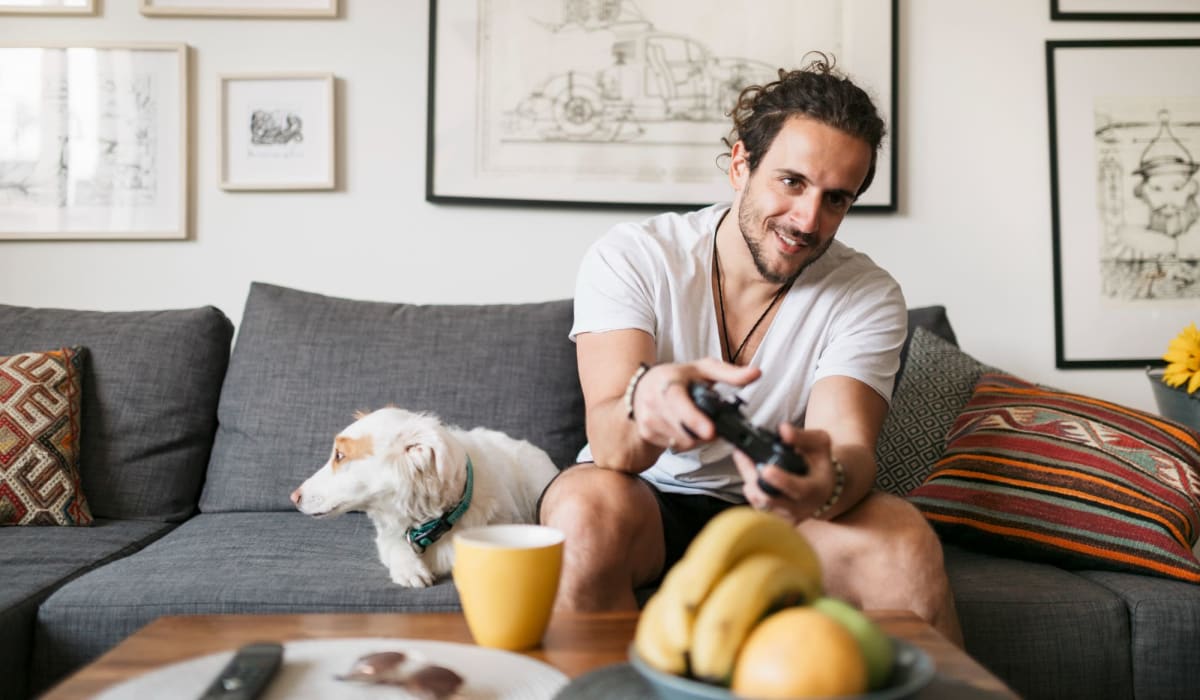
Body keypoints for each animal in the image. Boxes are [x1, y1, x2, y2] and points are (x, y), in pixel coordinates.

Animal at [290, 408, 556, 588]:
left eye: (340, 455)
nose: (293, 497)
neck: (432, 523)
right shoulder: (387, 535)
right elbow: (395, 546)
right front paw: (410, 569)